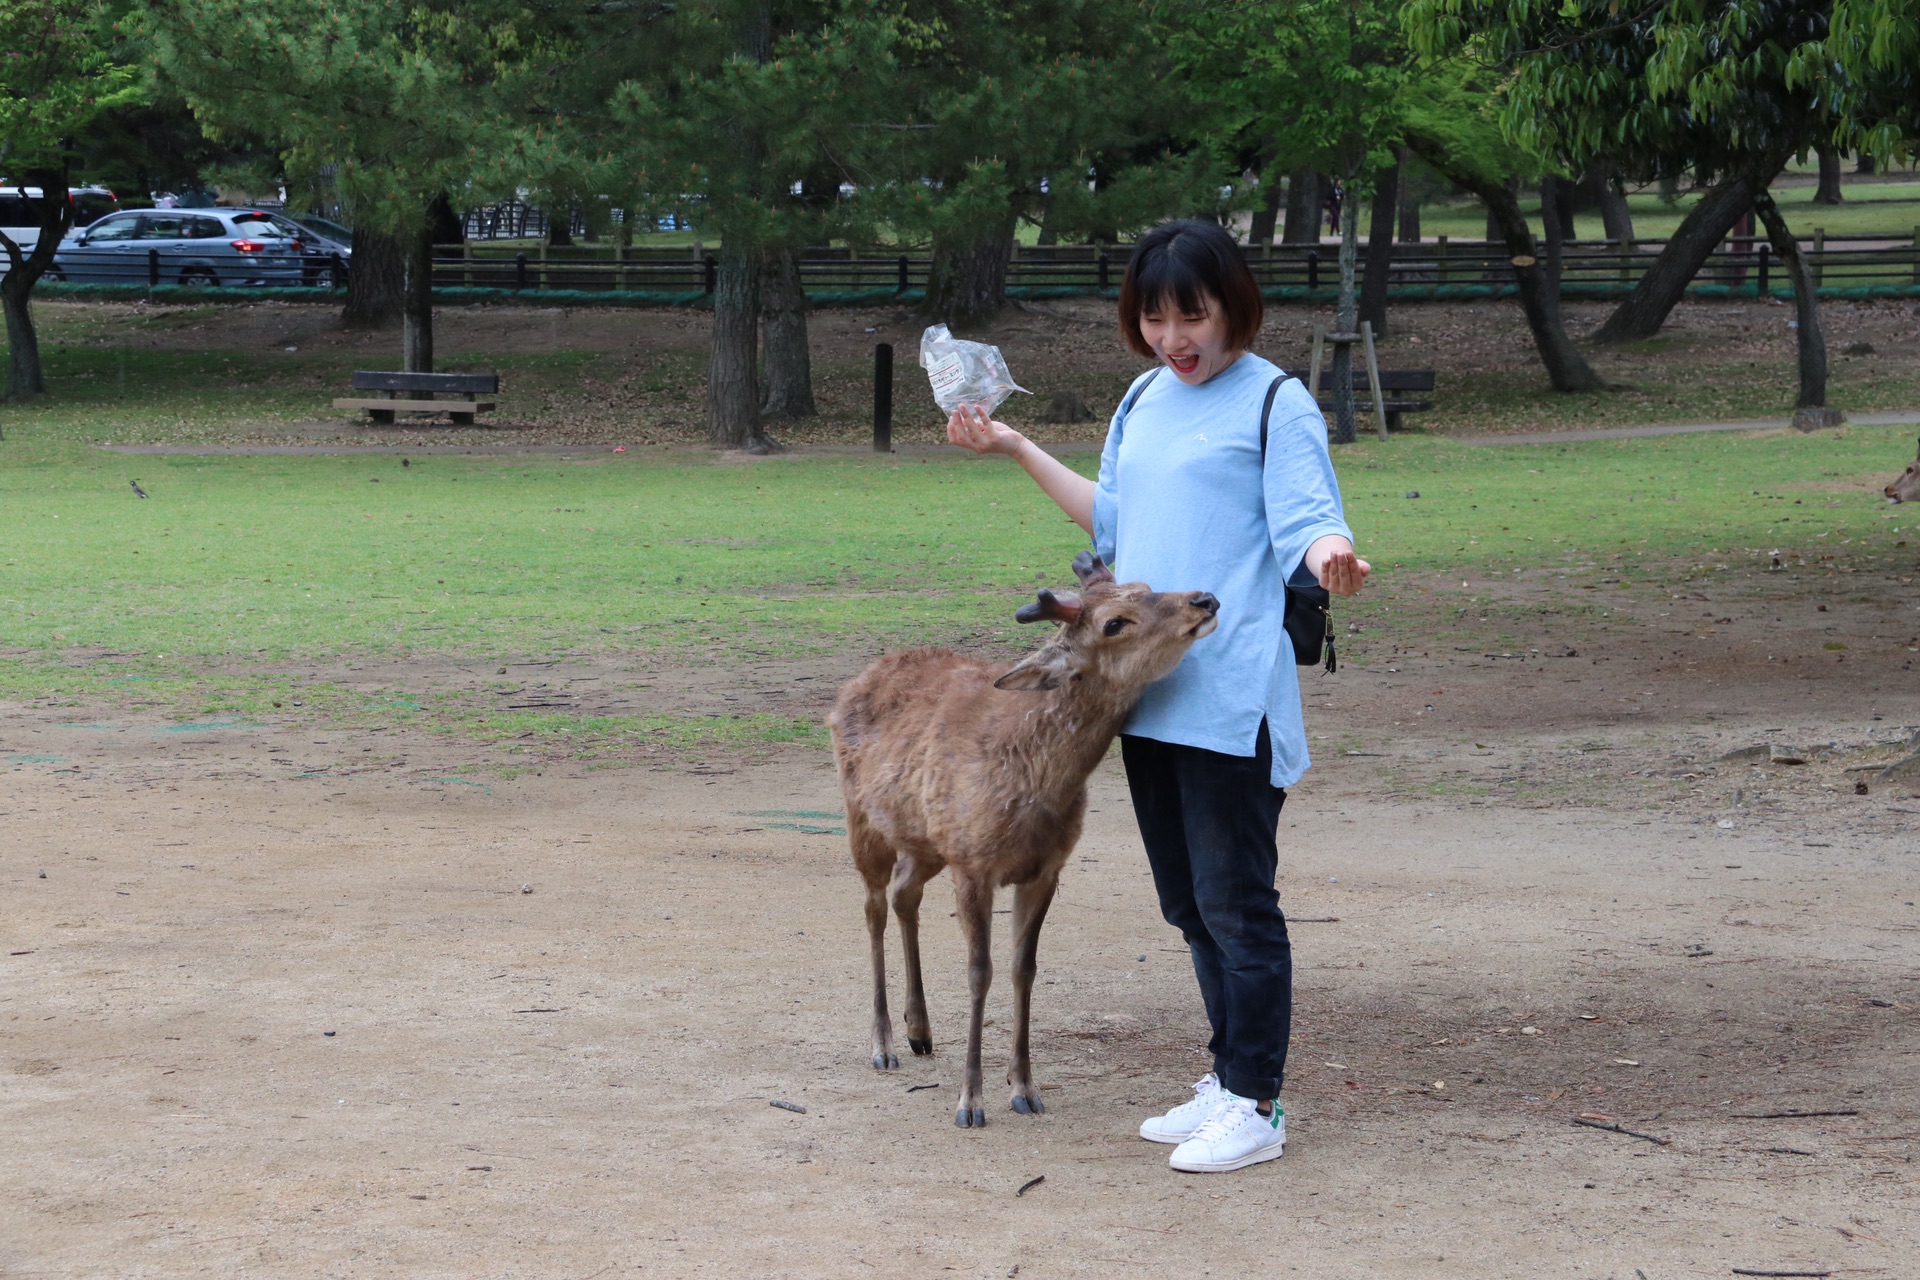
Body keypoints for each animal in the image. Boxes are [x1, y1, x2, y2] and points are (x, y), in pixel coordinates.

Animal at [825, 556, 1213, 1128]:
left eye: (1145, 586)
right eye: (1114, 623)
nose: (1203, 599)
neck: (1033, 780)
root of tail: (853, 684)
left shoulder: (1044, 868)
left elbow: (1022, 969)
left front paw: (1025, 1088)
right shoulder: (973, 864)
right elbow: (978, 972)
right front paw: (970, 1102)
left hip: (926, 841)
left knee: (903, 894)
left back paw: (920, 1030)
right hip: (862, 819)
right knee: (873, 906)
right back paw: (884, 1045)